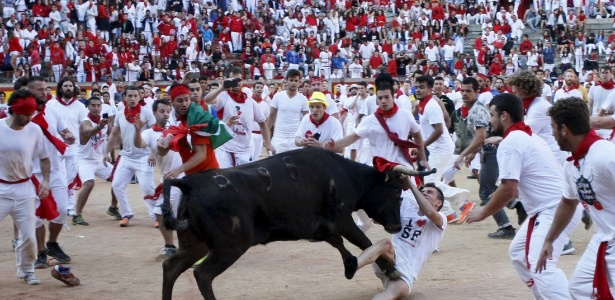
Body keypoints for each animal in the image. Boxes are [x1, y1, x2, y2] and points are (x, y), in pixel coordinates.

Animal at [161, 148, 436, 300]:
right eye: (397, 193)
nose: (396, 226)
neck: (346, 175)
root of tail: (190, 183)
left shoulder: (320, 226)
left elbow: (339, 243)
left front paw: (350, 264)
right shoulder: (342, 219)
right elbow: (364, 241)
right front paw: (391, 269)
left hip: (196, 244)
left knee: (171, 268)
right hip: (230, 247)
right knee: (202, 274)